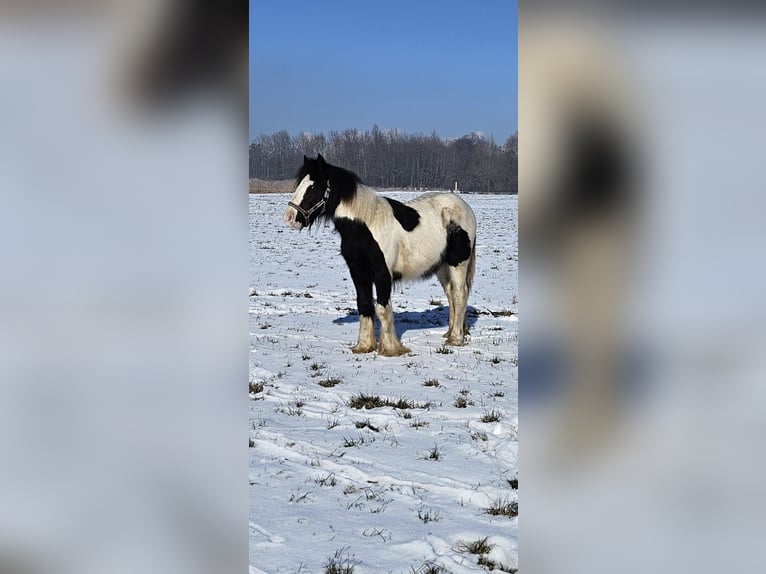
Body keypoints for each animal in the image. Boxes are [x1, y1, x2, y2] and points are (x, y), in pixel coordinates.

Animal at [284, 155, 476, 358]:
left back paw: (455, 339)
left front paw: (391, 349)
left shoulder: (382, 273)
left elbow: (383, 308)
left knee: (459, 294)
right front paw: (364, 346)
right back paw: (449, 333)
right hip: (442, 266)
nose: (289, 217)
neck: (366, 226)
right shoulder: (358, 272)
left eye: (314, 186)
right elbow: (364, 304)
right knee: (450, 294)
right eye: (300, 183)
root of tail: (463, 206)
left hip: (458, 263)